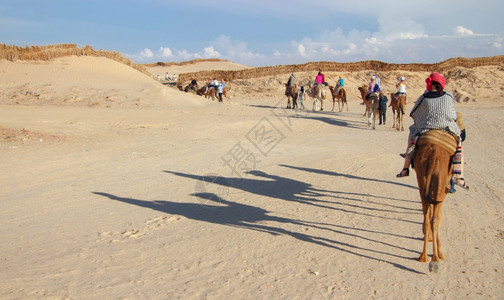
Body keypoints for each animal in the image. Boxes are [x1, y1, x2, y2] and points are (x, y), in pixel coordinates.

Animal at [412, 130, 458, 274]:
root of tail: (433, 156)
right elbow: (439, 217)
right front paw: (441, 252)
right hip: (440, 182)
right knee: (435, 219)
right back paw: (435, 259)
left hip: (421, 176)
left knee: (427, 216)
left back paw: (423, 257)